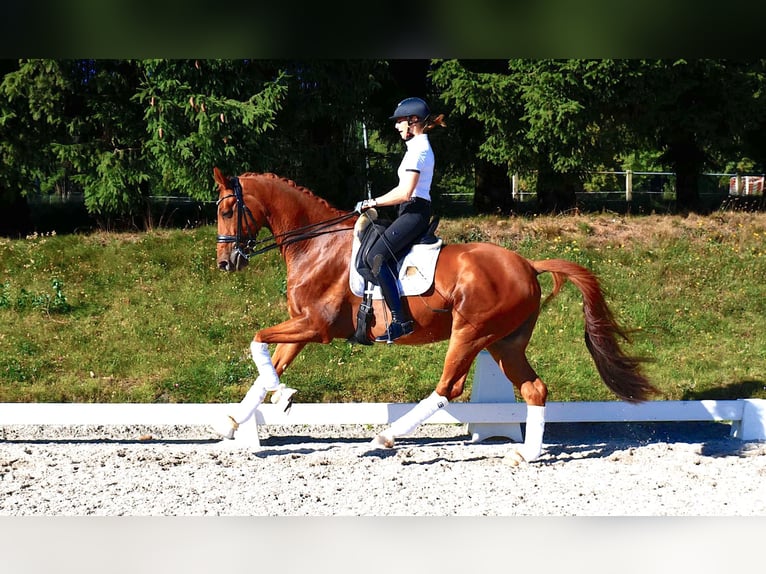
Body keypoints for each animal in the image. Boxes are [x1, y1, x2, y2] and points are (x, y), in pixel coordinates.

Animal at [212, 166, 658, 464]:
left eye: (229, 209)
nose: (225, 263)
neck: (315, 245)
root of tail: (528, 264)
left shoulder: (314, 327)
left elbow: (257, 340)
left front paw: (280, 399)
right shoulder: (302, 327)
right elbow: (268, 363)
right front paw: (234, 422)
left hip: (472, 333)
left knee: (448, 387)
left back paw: (385, 438)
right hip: (505, 342)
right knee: (535, 389)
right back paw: (526, 455)